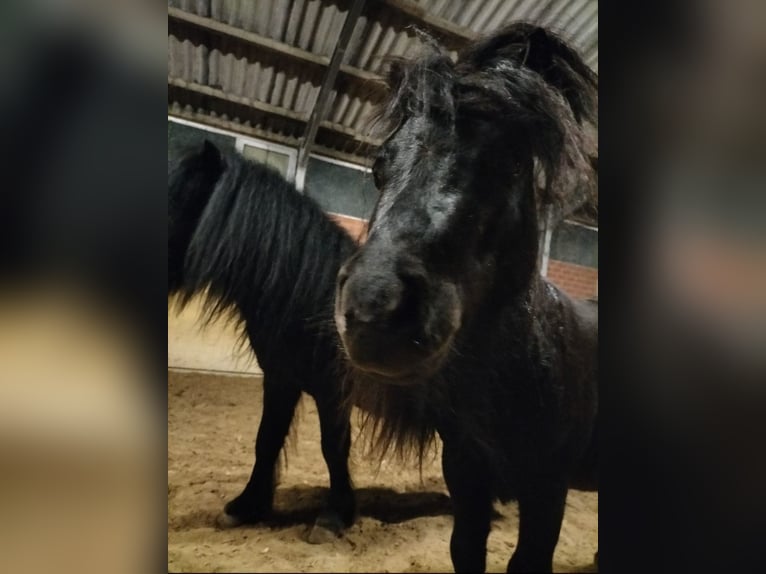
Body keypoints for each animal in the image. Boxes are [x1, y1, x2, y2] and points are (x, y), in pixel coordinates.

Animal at [168, 140, 358, 541]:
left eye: (176, 197)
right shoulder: (280, 378)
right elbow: (266, 439)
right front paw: (246, 506)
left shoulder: (333, 388)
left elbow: (333, 446)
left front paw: (334, 516)